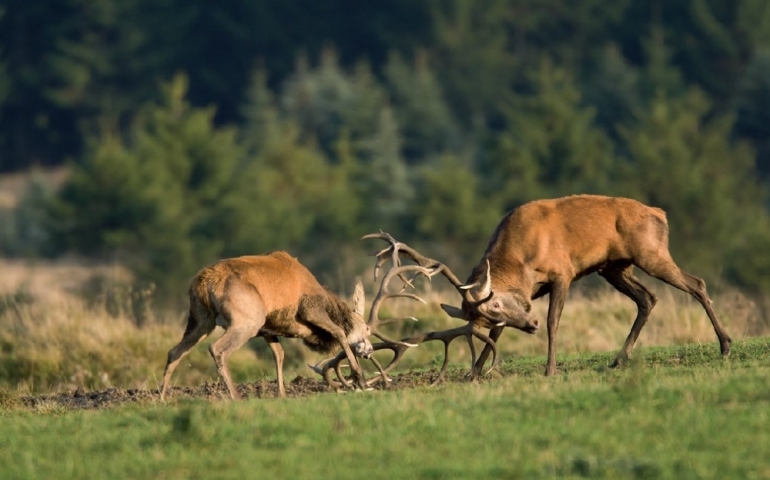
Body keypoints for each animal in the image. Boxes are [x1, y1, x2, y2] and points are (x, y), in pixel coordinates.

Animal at [159, 251, 372, 402]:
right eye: (367, 329)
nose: (369, 350)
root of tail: (203, 284)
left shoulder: (268, 329)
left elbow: (279, 354)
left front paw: (282, 393)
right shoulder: (310, 310)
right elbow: (340, 332)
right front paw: (359, 378)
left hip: (201, 320)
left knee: (174, 352)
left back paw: (162, 398)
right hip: (247, 320)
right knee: (216, 348)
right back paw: (236, 396)